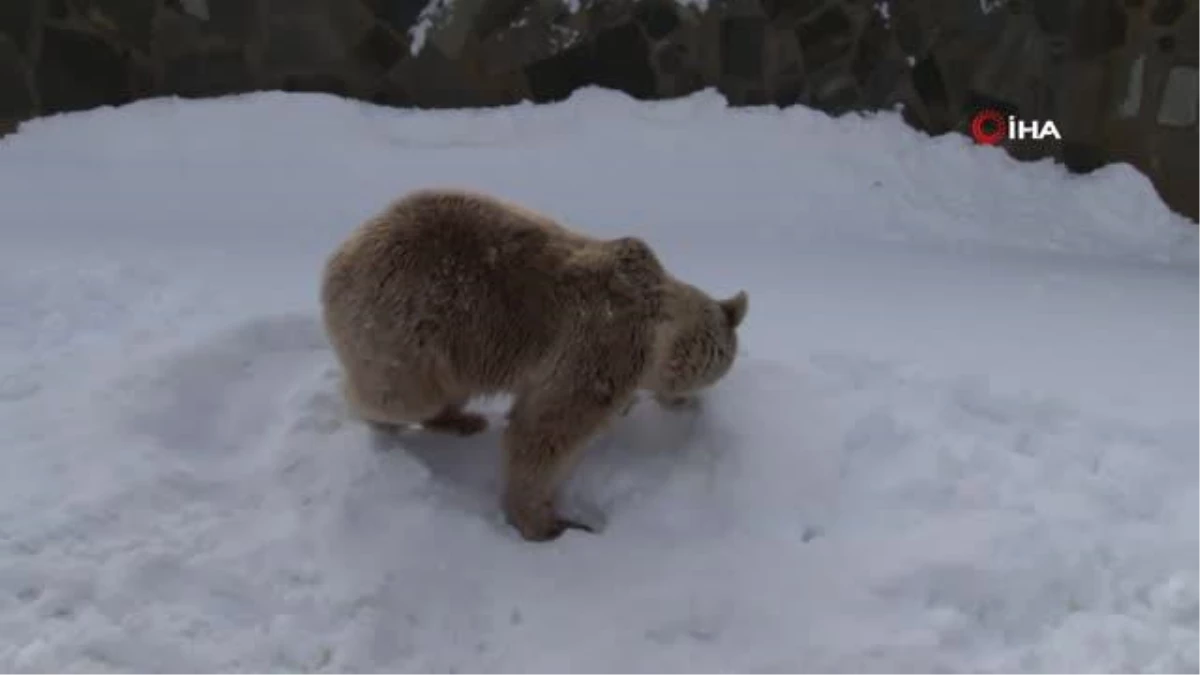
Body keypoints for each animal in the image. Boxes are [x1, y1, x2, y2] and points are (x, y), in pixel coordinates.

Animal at [321, 186, 748, 538]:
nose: (690, 404)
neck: (660, 329)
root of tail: (337, 259)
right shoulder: (603, 341)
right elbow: (546, 429)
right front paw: (546, 522)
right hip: (405, 325)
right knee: (397, 396)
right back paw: (382, 417)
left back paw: (462, 419)